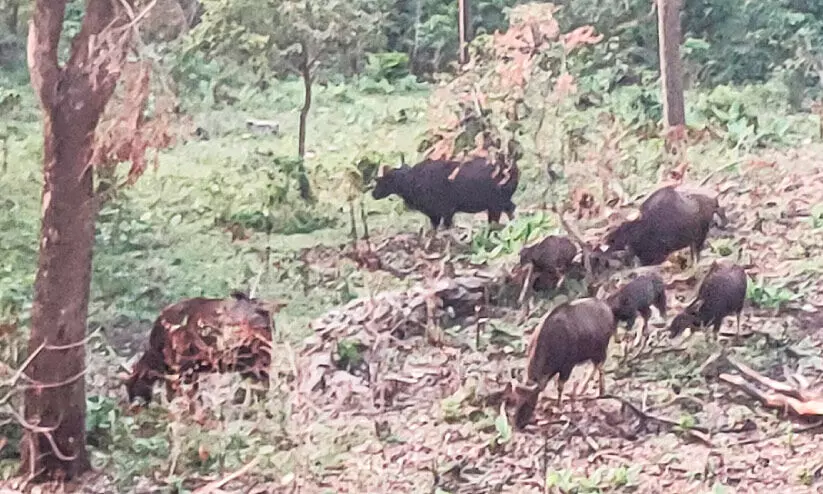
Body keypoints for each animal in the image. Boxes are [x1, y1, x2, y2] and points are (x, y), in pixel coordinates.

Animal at [374, 156, 520, 230]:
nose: (373, 194)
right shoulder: (435, 214)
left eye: (383, 181)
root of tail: (514, 170)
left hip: (497, 203)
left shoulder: (446, 211)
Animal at [512, 298, 616, 428]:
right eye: (516, 399)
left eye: (529, 400)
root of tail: (606, 307)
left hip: (600, 350)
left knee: (600, 367)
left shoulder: (567, 366)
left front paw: (558, 405)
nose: (517, 424)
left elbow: (560, 386)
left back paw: (600, 390)